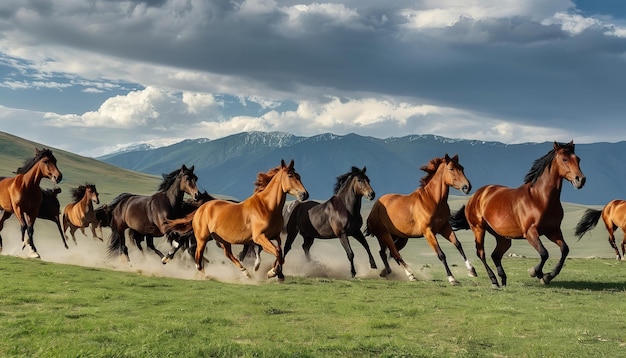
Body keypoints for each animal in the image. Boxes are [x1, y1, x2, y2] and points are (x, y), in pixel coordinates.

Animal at [167, 160, 308, 282]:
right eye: (290, 176)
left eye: (299, 176)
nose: (304, 194)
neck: (267, 207)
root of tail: (201, 209)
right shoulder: (259, 237)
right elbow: (277, 252)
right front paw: (272, 272)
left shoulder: (274, 236)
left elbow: (279, 252)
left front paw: (278, 274)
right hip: (202, 238)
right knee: (197, 255)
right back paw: (203, 275)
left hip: (222, 240)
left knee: (228, 254)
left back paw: (246, 273)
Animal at [360, 155, 472, 284]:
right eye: (451, 169)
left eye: (462, 168)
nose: (467, 187)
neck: (433, 200)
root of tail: (374, 208)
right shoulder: (428, 232)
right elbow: (441, 254)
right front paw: (452, 278)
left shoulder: (444, 227)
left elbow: (458, 244)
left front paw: (471, 271)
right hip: (384, 234)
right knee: (395, 253)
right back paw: (410, 275)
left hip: (399, 238)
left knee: (385, 253)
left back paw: (386, 272)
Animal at [450, 141, 584, 288]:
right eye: (564, 159)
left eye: (578, 159)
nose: (580, 179)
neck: (539, 198)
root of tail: (476, 195)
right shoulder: (531, 232)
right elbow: (544, 253)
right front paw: (535, 272)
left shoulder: (553, 231)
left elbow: (565, 249)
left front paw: (547, 276)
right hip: (478, 229)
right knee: (481, 254)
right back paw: (494, 280)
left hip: (503, 237)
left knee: (495, 255)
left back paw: (503, 279)